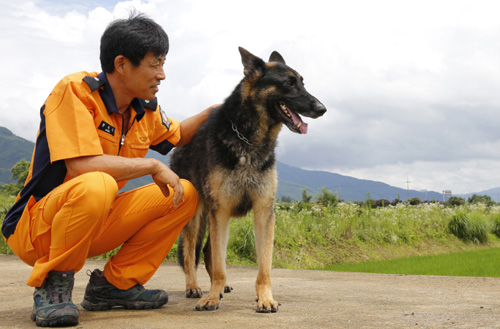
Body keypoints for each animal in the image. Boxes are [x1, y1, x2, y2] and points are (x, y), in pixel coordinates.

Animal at [170, 46, 326, 310]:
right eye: (288, 83)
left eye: (302, 82)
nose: (322, 108)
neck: (249, 140)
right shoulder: (221, 211)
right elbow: (217, 262)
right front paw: (211, 297)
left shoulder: (263, 211)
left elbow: (264, 266)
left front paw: (265, 298)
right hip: (196, 217)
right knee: (191, 252)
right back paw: (194, 287)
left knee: (208, 251)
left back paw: (221, 287)